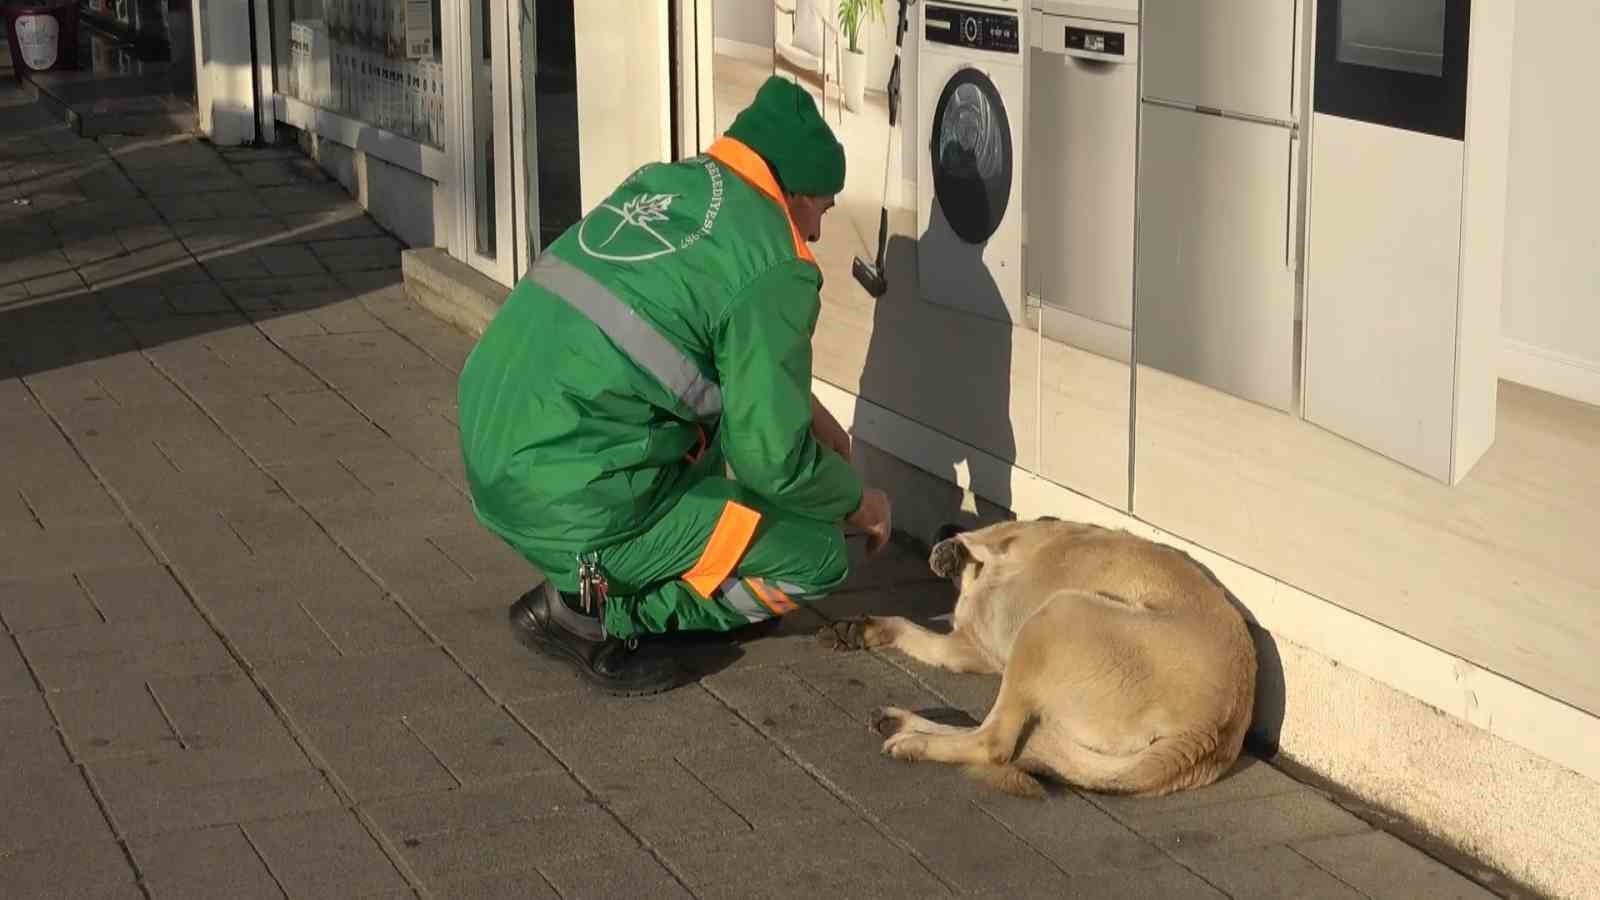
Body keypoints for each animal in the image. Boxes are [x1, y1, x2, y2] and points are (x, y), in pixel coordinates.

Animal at [825, 515, 1260, 794]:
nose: (945, 541)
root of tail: (1208, 731)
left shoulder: (1017, 543)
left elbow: (987, 537)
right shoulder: (968, 647)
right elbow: (915, 631)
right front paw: (867, 629)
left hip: (1054, 616)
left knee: (996, 744)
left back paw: (914, 742)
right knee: (1003, 738)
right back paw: (901, 724)